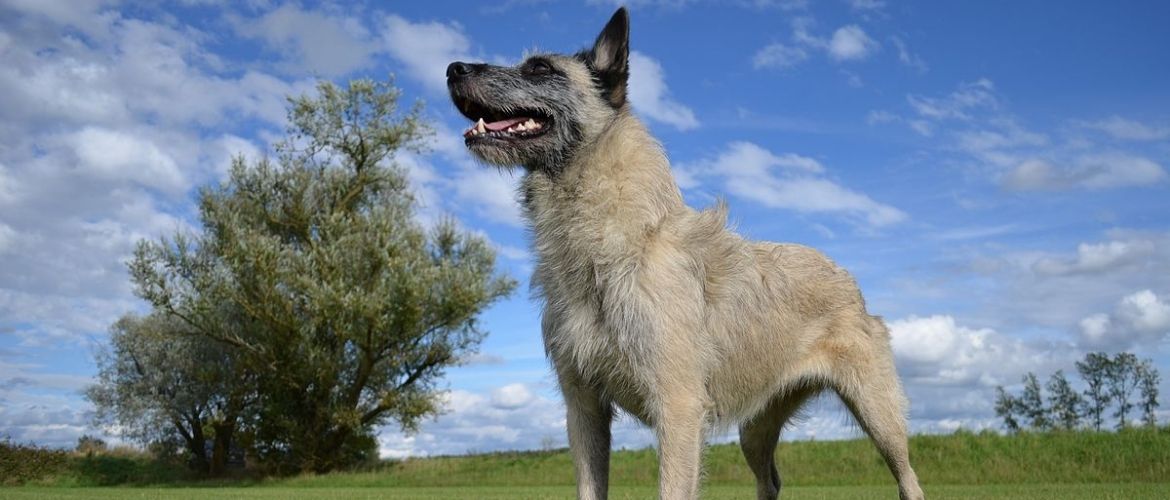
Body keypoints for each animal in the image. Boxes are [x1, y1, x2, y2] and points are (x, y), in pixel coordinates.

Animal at [444, 7, 921, 500]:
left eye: (540, 68)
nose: (452, 69)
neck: (616, 245)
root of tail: (847, 277)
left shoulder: (678, 410)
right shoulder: (584, 409)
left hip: (880, 414)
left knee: (908, 476)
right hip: (755, 429)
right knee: (769, 479)